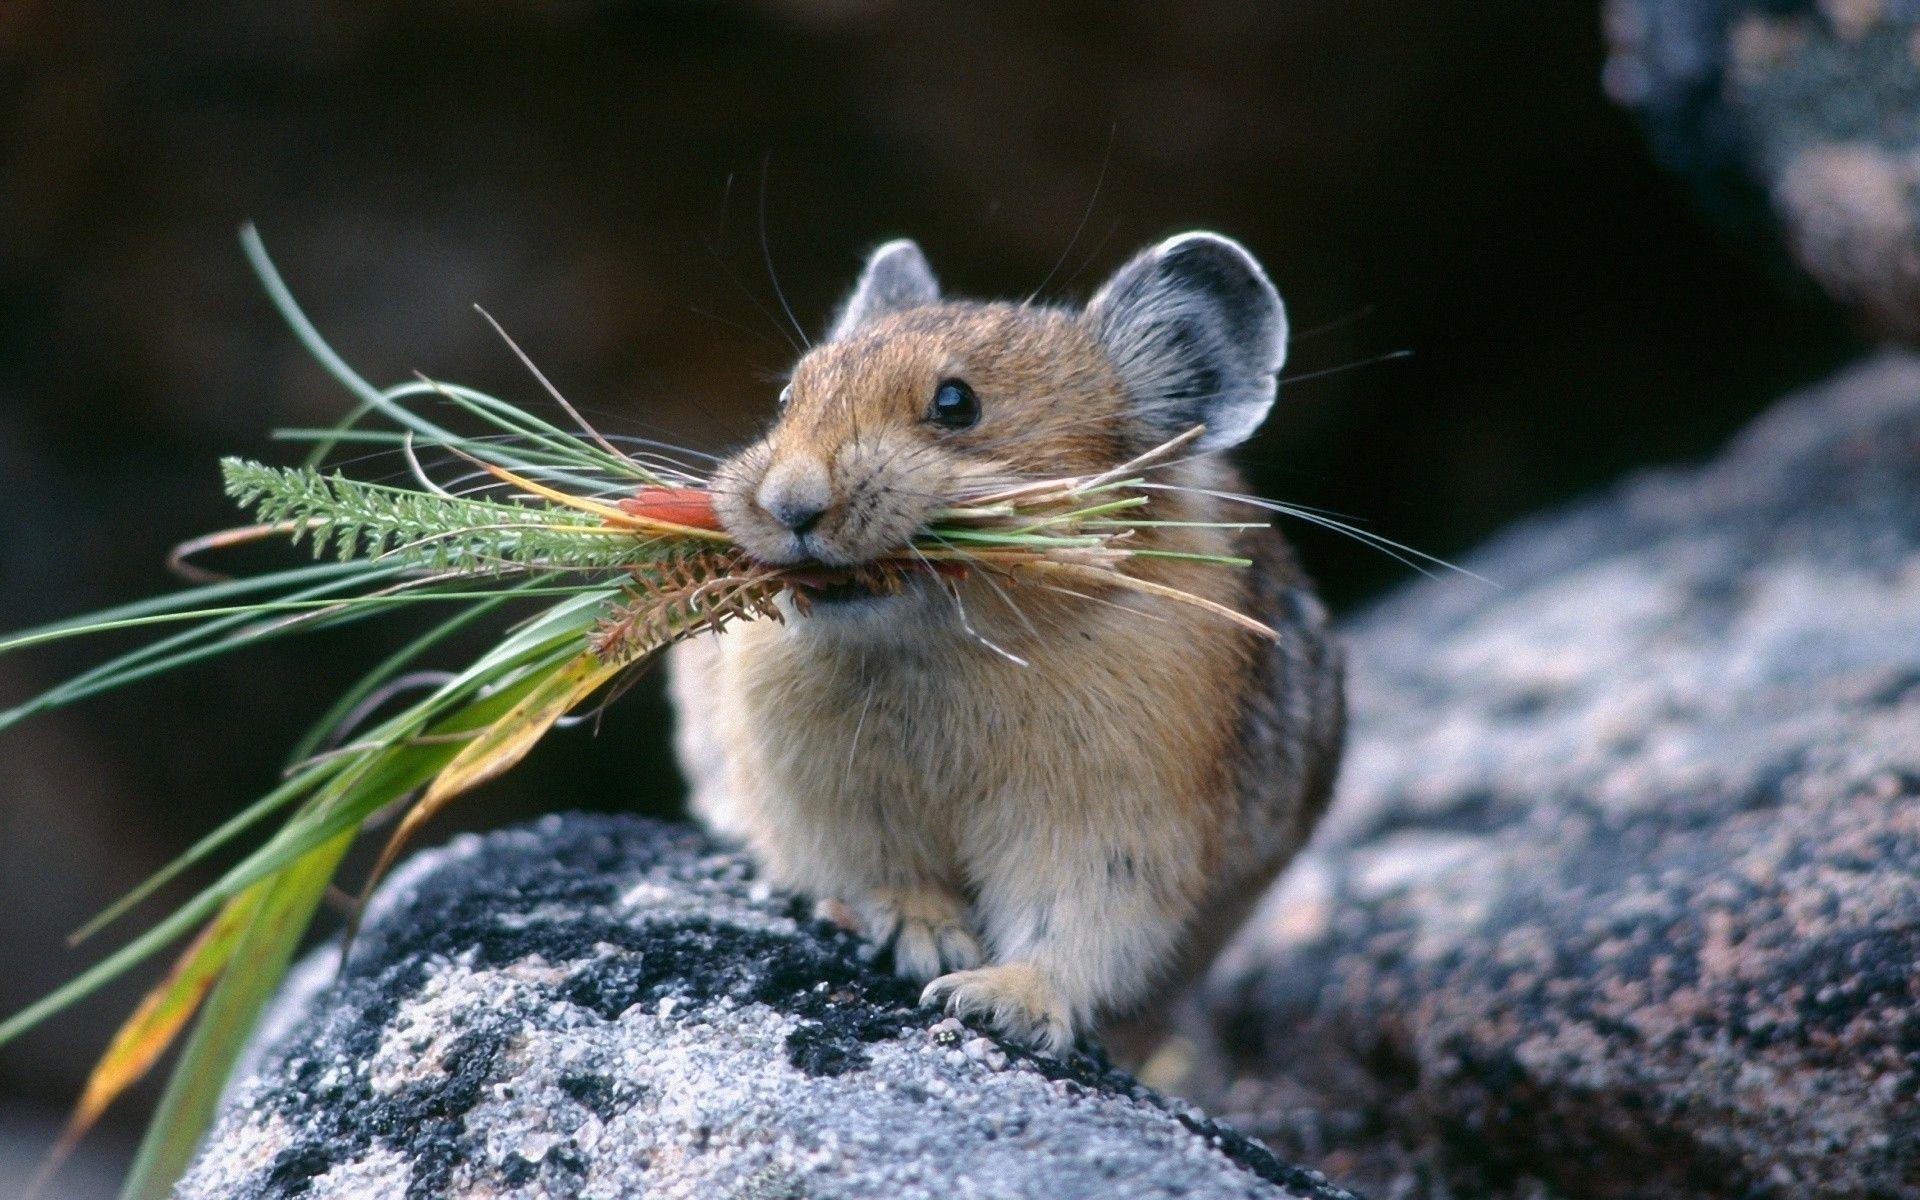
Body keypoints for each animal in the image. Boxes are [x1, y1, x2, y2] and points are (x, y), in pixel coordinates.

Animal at [669, 232, 1343, 1053]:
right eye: (787, 399)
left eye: (957, 403)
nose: (790, 504)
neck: (939, 653)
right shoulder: (822, 805)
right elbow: (875, 874)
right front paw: (926, 937)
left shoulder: (1123, 823)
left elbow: (1086, 925)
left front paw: (995, 998)